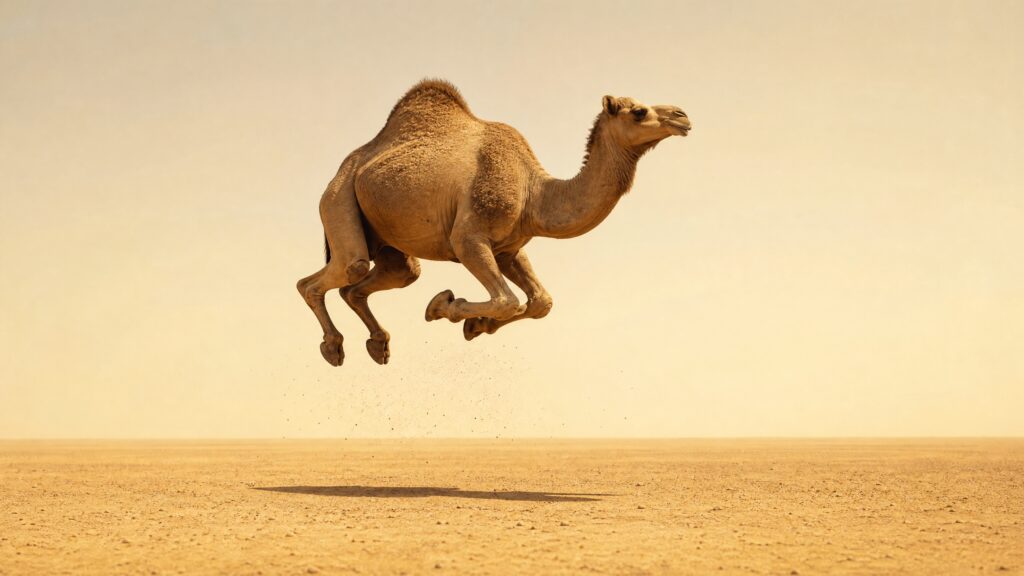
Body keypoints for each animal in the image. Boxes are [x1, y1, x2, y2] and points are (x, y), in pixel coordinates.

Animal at [297, 79, 690, 366]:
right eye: (638, 111)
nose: (682, 115)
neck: (535, 193)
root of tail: (347, 164)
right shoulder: (469, 238)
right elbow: (507, 299)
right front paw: (443, 306)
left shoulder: (509, 248)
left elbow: (540, 302)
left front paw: (476, 324)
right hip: (338, 200)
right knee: (338, 272)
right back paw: (333, 347)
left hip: (388, 241)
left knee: (385, 277)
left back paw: (378, 344)